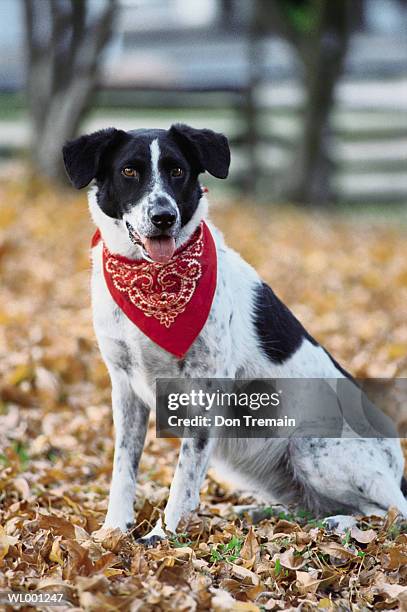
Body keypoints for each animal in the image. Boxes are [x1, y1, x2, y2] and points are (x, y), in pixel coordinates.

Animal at [62, 125, 406, 540]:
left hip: (310, 447)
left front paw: (164, 536)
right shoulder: (125, 388)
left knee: (391, 512)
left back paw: (340, 523)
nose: (164, 217)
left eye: (177, 171)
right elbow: (123, 468)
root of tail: (398, 467)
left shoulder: (205, 394)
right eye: (129, 171)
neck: (152, 279)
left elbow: (184, 477)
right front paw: (113, 531)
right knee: (311, 506)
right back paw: (257, 514)